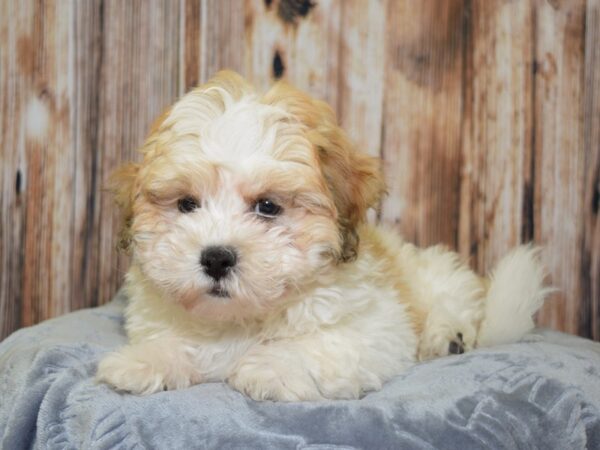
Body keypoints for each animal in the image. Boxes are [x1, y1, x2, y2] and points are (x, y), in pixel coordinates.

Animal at [96, 70, 552, 400]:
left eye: (267, 207)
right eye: (187, 204)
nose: (216, 258)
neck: (242, 317)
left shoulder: (378, 328)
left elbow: (323, 345)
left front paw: (271, 366)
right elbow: (174, 340)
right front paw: (144, 361)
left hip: (435, 278)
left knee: (458, 299)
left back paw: (449, 336)